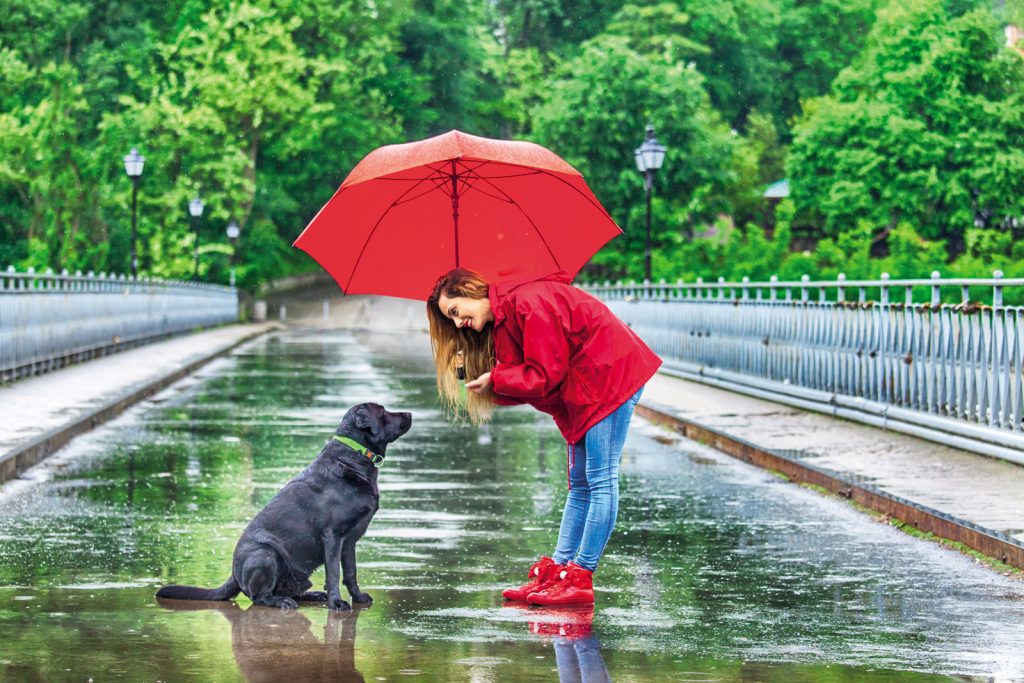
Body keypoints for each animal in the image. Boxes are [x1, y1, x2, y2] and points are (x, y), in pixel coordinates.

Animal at [153, 401, 409, 610]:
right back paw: (282, 602)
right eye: (383, 412)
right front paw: (336, 603)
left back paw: (312, 596)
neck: (355, 455)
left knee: (292, 591)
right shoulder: (334, 536)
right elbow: (334, 573)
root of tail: (233, 576)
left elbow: (351, 572)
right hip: (266, 554)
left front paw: (357, 597)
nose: (409, 413)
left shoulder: (350, 541)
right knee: (260, 597)